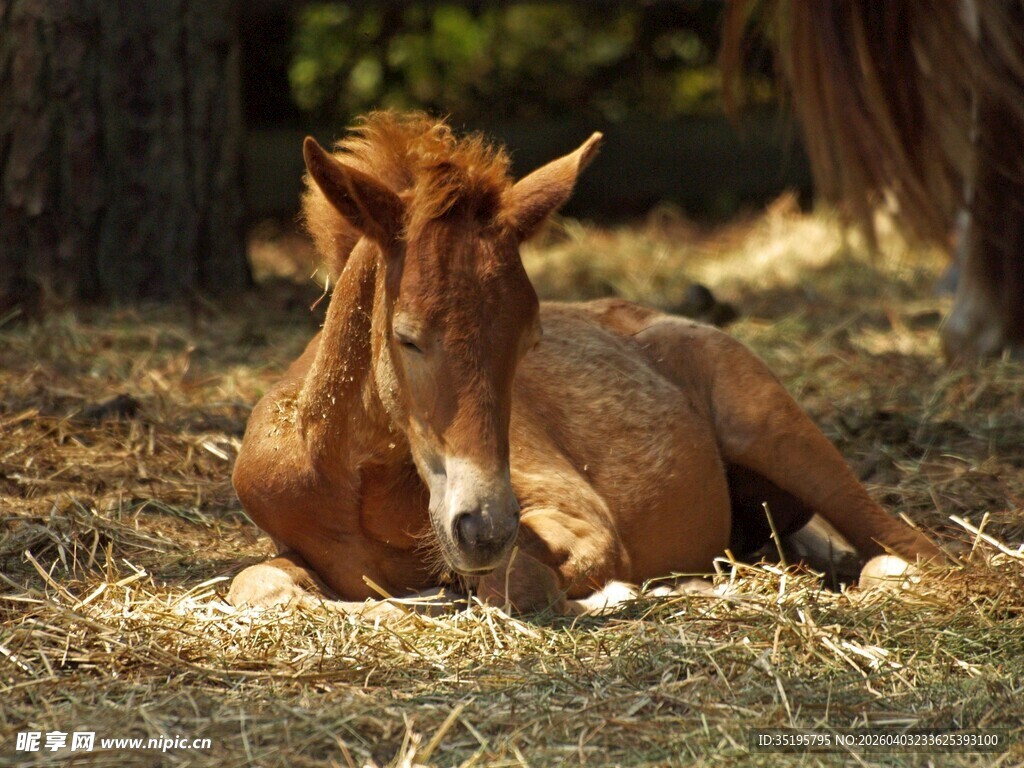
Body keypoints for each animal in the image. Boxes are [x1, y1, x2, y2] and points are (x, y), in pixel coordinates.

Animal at [228, 112, 942, 614]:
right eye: (406, 337)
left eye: (530, 338)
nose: (483, 528)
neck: (353, 483)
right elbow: (257, 585)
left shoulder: (579, 518)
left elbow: (518, 583)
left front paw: (613, 592)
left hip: (776, 431)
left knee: (913, 548)